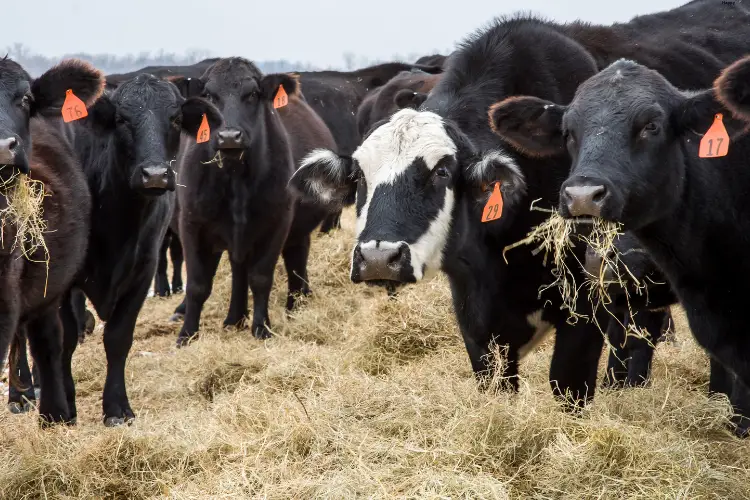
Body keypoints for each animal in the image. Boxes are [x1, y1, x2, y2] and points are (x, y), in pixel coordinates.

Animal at [170, 55, 338, 344]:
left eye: (253, 94)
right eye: (209, 95)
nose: (229, 136)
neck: (235, 179)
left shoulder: (277, 223)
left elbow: (260, 278)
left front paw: (262, 328)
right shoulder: (191, 224)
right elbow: (197, 285)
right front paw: (187, 335)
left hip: (294, 230)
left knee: (295, 258)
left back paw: (295, 305)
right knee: (239, 270)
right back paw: (234, 318)